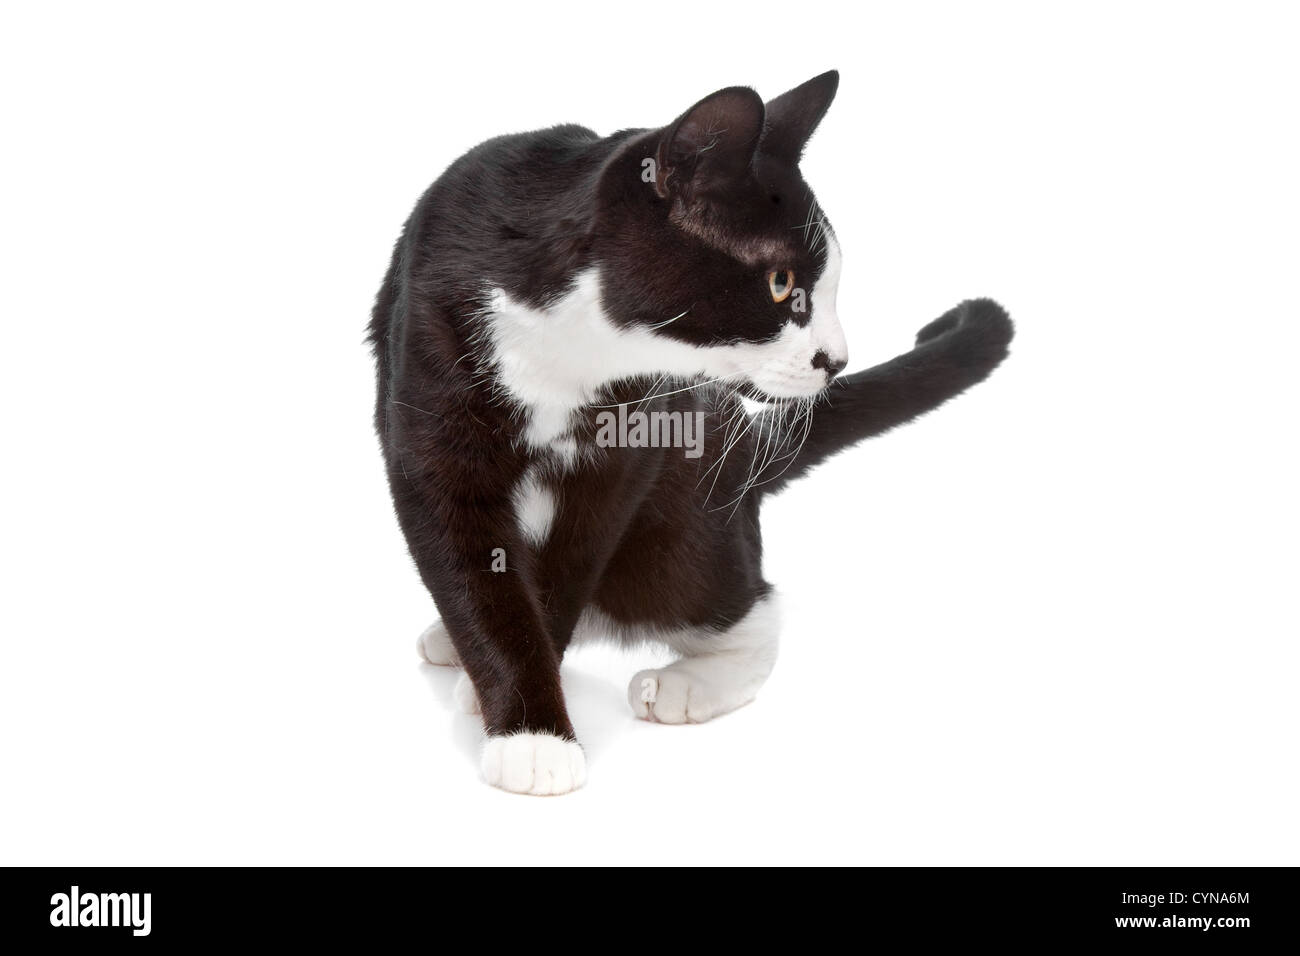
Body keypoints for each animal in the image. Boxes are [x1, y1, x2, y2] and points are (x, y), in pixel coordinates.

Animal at [369, 70, 1013, 796]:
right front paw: (527, 723)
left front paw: (526, 724)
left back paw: (687, 683)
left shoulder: (631, 447)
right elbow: (469, 563)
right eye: (780, 282)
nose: (838, 360)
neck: (572, 347)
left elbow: (570, 566)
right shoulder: (430, 411)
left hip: (682, 529)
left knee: (738, 600)